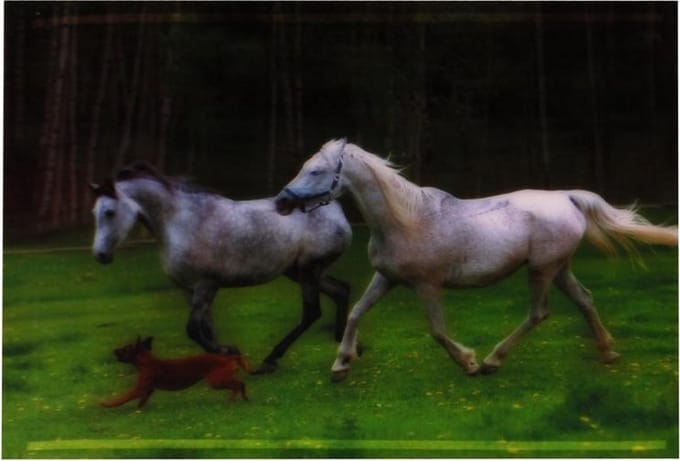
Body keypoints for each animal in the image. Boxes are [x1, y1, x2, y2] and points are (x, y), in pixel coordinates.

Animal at [90, 162, 352, 373]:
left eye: (110, 212)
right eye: (95, 212)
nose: (100, 255)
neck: (181, 223)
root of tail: (336, 211)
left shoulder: (206, 285)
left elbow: (193, 329)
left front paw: (228, 351)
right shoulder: (188, 289)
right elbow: (207, 328)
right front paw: (223, 360)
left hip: (309, 270)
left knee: (311, 312)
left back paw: (272, 359)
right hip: (299, 272)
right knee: (341, 290)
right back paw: (343, 345)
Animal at [275, 139, 678, 381]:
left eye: (316, 170)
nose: (282, 201)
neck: (405, 220)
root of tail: (566, 197)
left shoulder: (427, 285)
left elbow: (437, 330)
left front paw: (467, 362)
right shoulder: (386, 278)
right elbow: (357, 311)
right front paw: (340, 364)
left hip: (541, 270)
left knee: (539, 313)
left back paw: (491, 361)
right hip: (558, 268)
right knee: (584, 300)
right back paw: (608, 352)